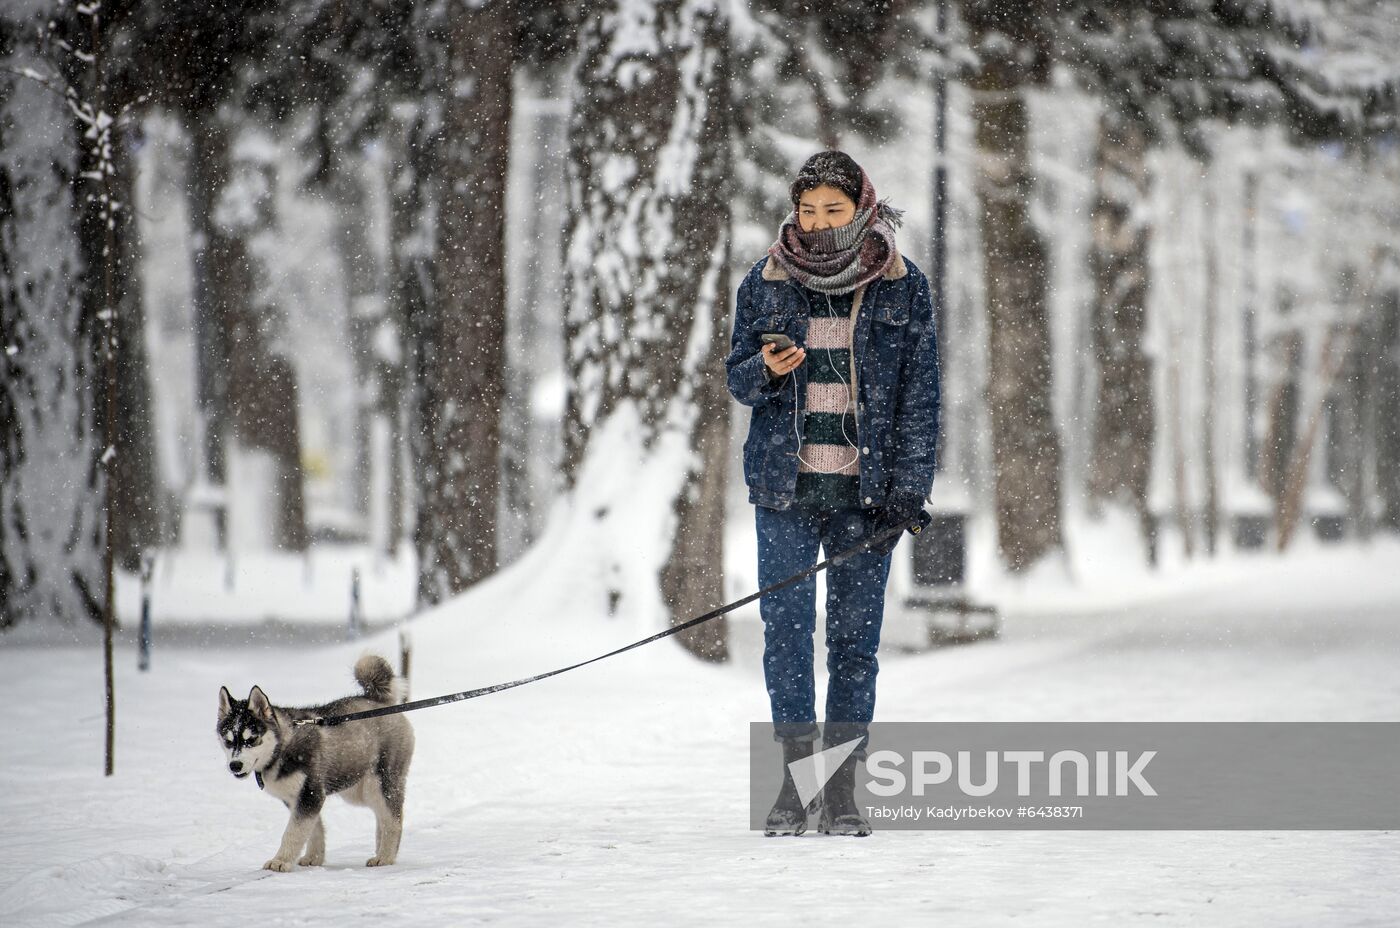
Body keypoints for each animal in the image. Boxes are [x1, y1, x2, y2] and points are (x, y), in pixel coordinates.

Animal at [211, 652, 408, 873]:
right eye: (228, 741)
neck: (281, 750)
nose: (235, 765)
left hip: (381, 781)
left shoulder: (310, 793)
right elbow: (313, 829)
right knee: (380, 814)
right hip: (357, 788)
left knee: (393, 817)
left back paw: (385, 856)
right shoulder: (295, 798)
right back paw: (381, 849)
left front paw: (280, 861)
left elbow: (293, 832)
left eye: (252, 739)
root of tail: (377, 699)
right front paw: (313, 858)